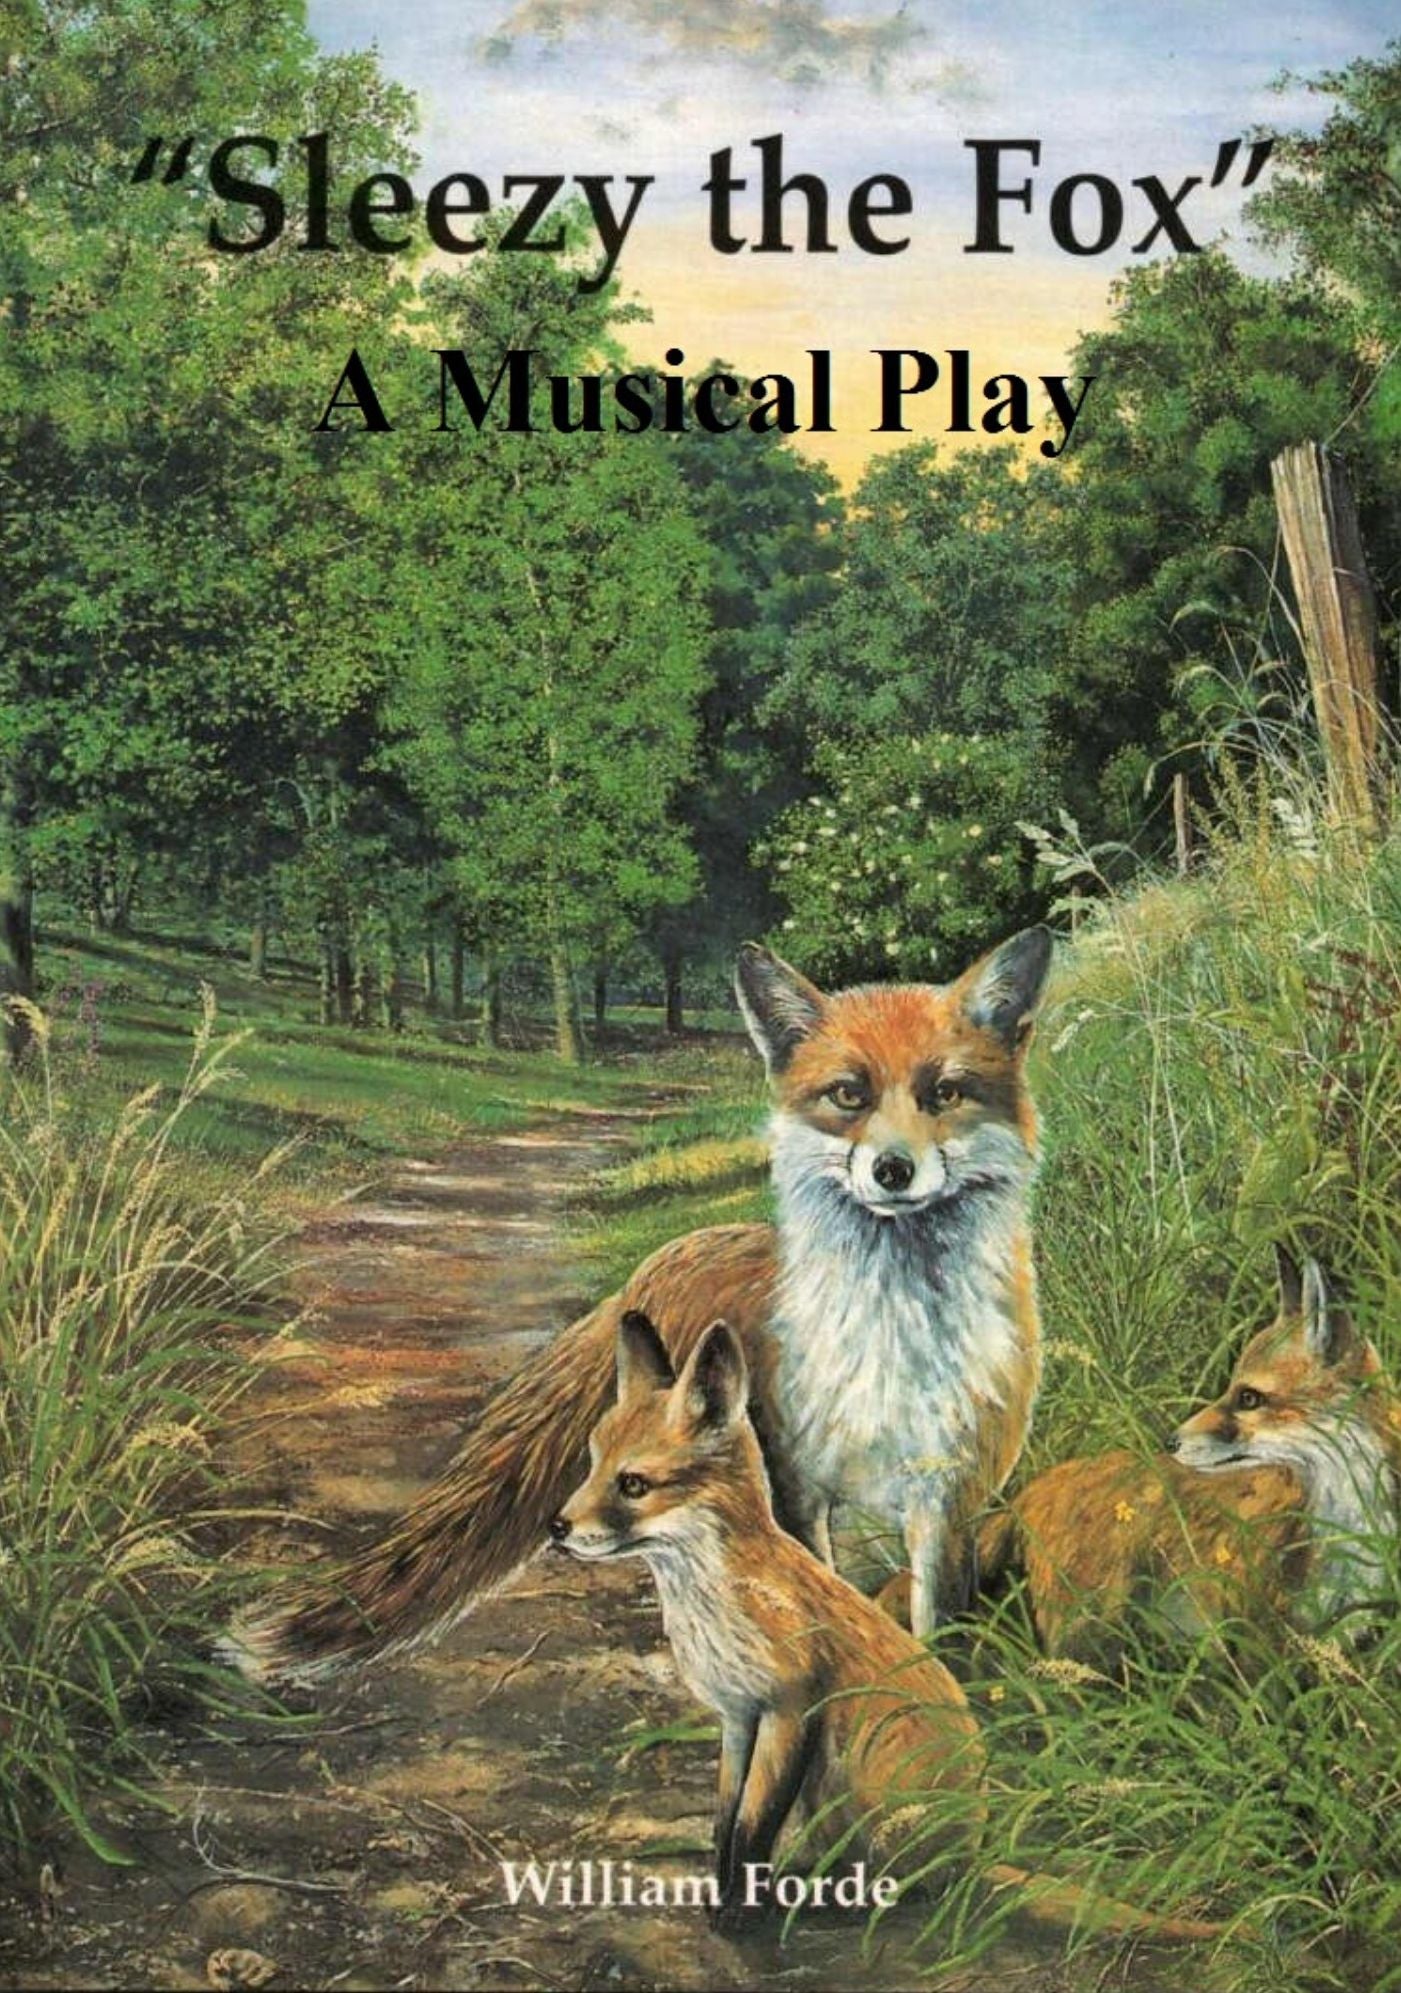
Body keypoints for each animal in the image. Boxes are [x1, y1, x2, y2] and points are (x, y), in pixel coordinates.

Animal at [226, 927, 1053, 1681]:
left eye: (943, 1092)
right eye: (849, 1094)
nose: (892, 1169)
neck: (889, 1336)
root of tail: (665, 1255)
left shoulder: (951, 1497)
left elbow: (935, 1626)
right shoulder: (794, 1488)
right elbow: (815, 1601)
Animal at [552, 1309, 1224, 1942]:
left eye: (633, 1484)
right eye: (590, 1464)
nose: (558, 1528)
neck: (722, 1596)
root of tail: (971, 1850)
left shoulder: (789, 1708)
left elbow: (753, 1825)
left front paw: (739, 1914)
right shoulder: (738, 1716)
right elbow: (725, 1824)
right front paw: (721, 1897)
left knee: (902, 1888)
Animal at [880, 1249, 1399, 1659]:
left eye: (1250, 1398)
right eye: (1235, 1388)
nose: (1170, 1442)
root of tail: (1033, 1489)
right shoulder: (1255, 1643)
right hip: (1087, 1638)